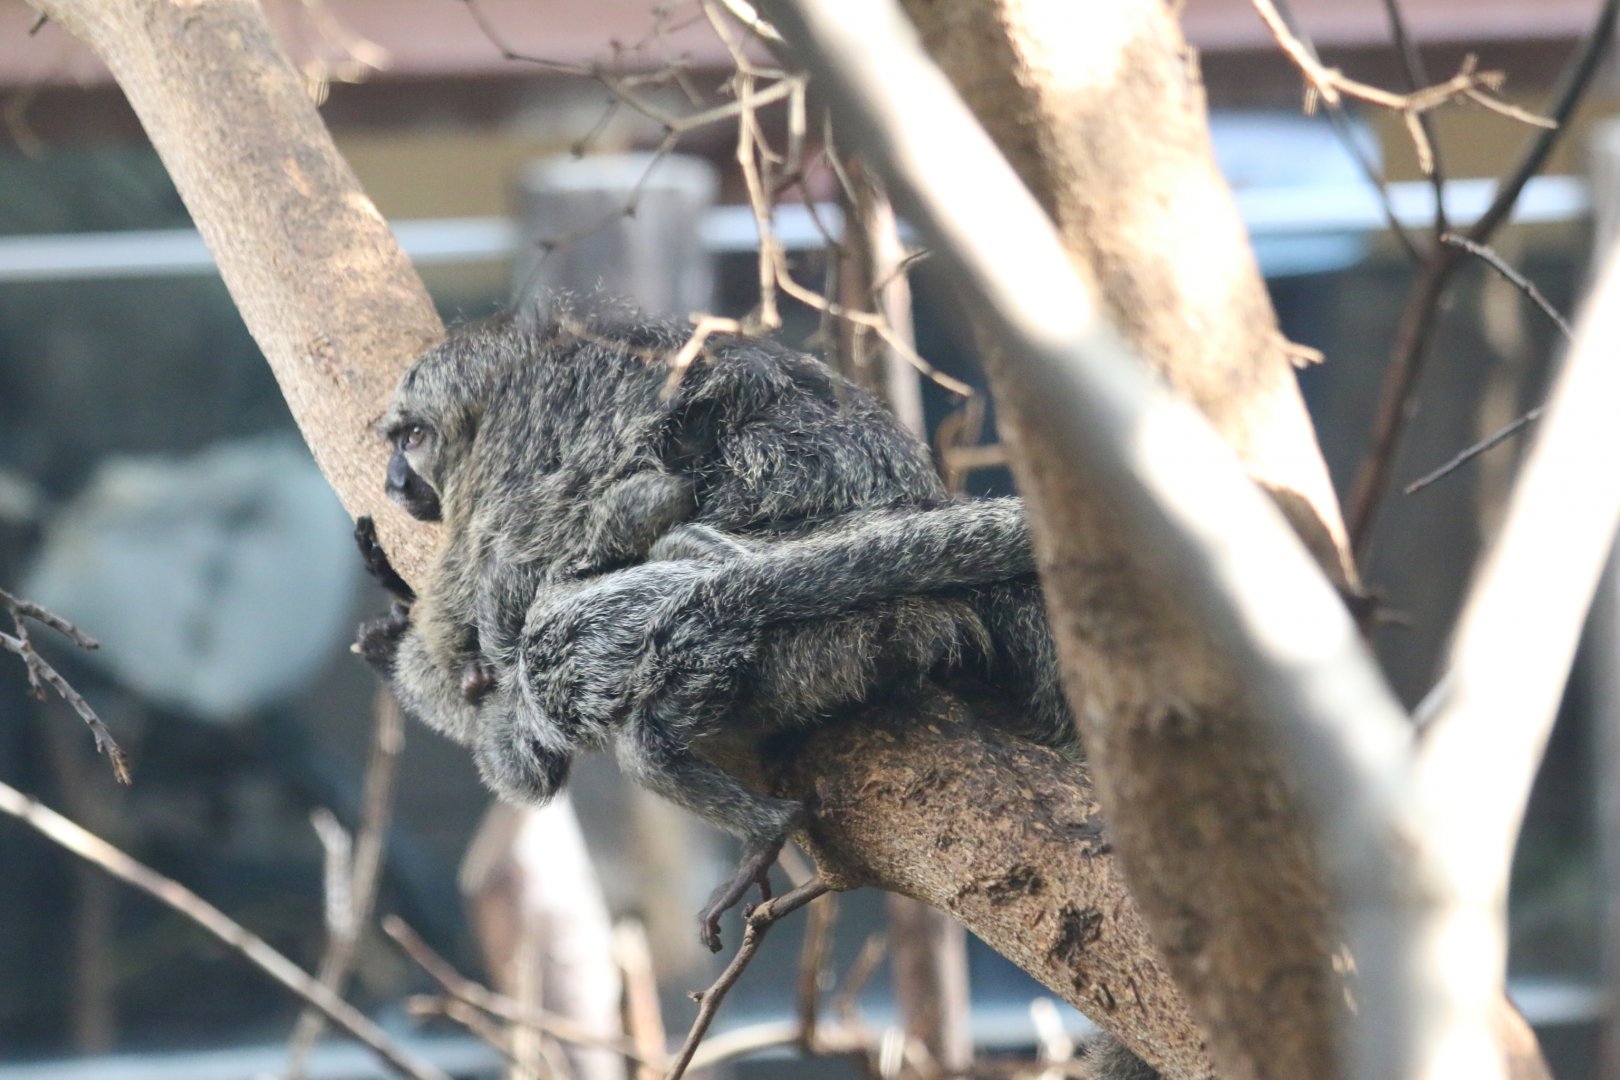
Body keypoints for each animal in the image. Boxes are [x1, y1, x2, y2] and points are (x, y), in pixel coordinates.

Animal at [355, 302, 1074, 950]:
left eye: (412, 439)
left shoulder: (509, 451)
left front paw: (401, 636)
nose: (393, 480)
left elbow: (465, 646)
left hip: (803, 646)